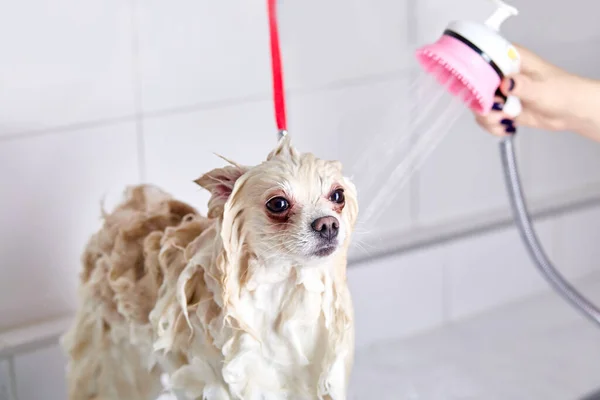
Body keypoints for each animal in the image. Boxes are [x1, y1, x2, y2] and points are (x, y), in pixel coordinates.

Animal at [62, 136, 356, 398]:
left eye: (337, 195)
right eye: (278, 203)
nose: (328, 224)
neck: (282, 291)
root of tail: (123, 212)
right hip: (112, 363)